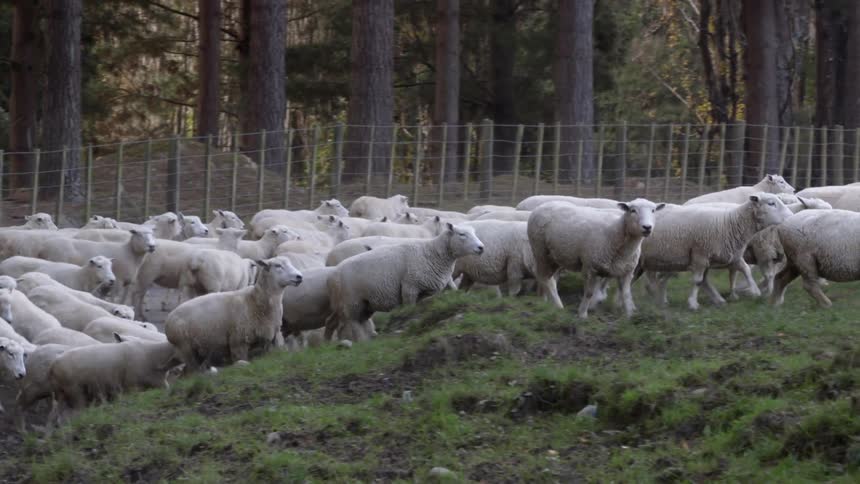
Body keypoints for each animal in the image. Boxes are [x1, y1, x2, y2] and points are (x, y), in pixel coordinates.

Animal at [48, 334, 181, 420]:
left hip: (61, 393)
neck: (153, 356)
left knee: (56, 417)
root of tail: (54, 364)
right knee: (75, 412)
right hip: (74, 390)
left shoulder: (160, 383)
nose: (179, 371)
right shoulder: (131, 386)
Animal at [165, 256, 303, 371]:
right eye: (278, 265)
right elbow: (241, 359)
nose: (299, 276)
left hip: (199, 348)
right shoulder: (239, 342)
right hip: (184, 348)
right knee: (192, 371)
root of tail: (169, 319)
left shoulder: (270, 339)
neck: (254, 301)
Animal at [325, 223, 484, 341]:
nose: (481, 247)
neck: (432, 253)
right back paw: (362, 342)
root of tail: (333, 274)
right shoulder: (410, 287)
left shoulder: (427, 291)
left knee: (345, 321)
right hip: (352, 301)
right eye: (462, 234)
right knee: (354, 323)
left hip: (362, 303)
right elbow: (409, 309)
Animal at [528, 199, 664, 317]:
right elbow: (589, 293)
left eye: (653, 210)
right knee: (544, 277)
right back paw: (557, 305)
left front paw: (630, 316)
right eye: (633, 210)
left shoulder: (626, 271)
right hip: (540, 250)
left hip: (557, 256)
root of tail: (544, 205)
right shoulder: (590, 267)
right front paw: (582, 314)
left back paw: (549, 301)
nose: (647, 227)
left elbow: (626, 294)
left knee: (550, 278)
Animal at [637, 193, 793, 310]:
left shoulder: (733, 256)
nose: (791, 216)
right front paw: (692, 303)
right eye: (771, 203)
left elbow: (746, 270)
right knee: (652, 279)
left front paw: (754, 291)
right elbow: (698, 281)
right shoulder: (700, 256)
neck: (730, 223)